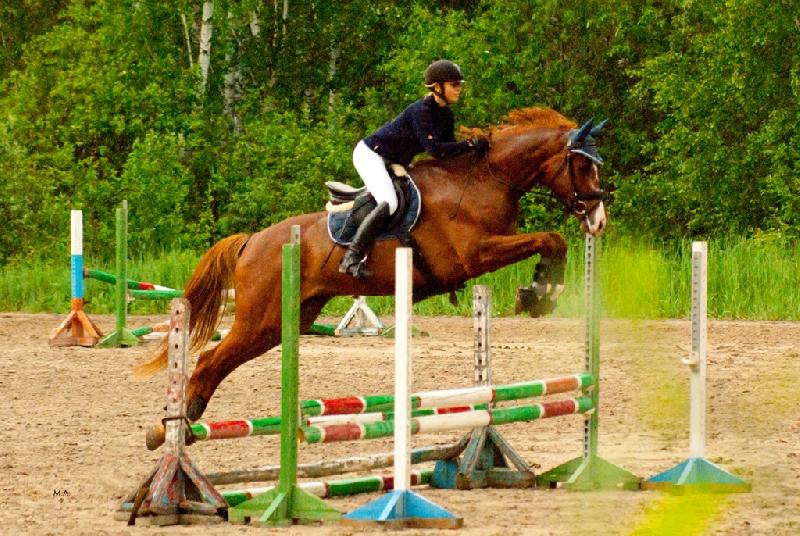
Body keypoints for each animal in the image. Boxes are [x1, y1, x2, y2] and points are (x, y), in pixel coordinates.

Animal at [134, 107, 610, 422]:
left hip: (283, 322)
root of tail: (252, 241)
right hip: (260, 317)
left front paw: (540, 291)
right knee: (211, 358)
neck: (485, 178)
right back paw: (178, 425)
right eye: (582, 166)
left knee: (220, 360)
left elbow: (551, 241)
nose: (599, 220)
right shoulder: (473, 254)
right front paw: (540, 293)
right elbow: (549, 239)